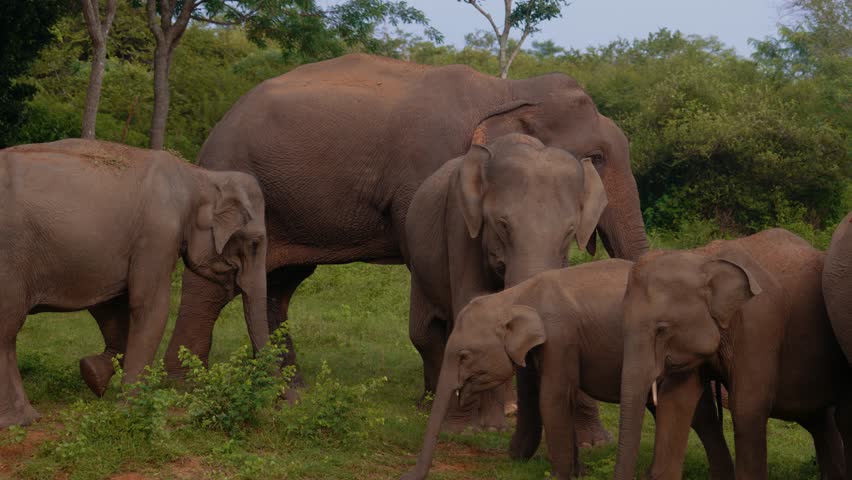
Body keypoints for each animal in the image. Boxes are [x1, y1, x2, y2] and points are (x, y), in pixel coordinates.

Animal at [0, 139, 269, 427]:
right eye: (255, 243)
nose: (276, 403)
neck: (200, 177)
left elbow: (110, 307)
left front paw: (93, 374)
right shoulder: (159, 233)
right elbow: (149, 307)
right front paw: (129, 411)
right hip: (9, 259)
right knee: (7, 329)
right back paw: (21, 419)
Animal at [402, 259, 734, 480]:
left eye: (464, 356)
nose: (407, 476)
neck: (516, 296)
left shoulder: (560, 335)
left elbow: (552, 397)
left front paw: (561, 475)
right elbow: (555, 395)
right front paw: (576, 470)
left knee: (698, 412)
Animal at [406, 133, 609, 434]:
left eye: (570, 231)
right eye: (502, 224)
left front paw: (594, 439)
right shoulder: (459, 222)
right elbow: (470, 299)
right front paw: (482, 428)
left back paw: (510, 409)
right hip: (418, 265)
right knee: (424, 332)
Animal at [614, 228, 851, 480]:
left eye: (662, 329)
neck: (702, 257)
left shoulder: (758, 324)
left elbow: (747, 407)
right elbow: (675, 401)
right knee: (820, 421)